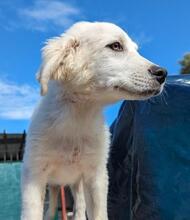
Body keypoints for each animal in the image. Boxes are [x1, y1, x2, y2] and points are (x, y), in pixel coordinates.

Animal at [20, 21, 166, 220]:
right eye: (116, 46)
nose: (163, 73)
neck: (78, 118)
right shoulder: (34, 175)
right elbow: (33, 213)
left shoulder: (96, 176)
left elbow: (98, 214)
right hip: (54, 186)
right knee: (51, 210)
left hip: (77, 184)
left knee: (80, 207)